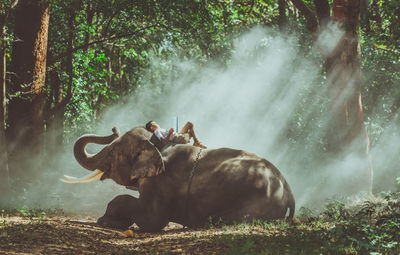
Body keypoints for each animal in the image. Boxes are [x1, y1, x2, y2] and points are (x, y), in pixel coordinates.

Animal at [61, 126, 294, 232]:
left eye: (113, 152)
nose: (113, 129)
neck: (158, 146)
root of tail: (289, 192)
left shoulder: (161, 183)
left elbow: (152, 220)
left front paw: (105, 221)